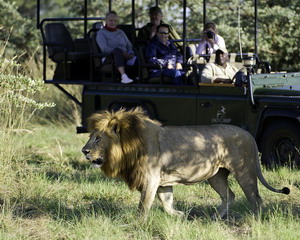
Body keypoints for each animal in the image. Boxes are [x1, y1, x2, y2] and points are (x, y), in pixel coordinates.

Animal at [81, 107, 290, 218]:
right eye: (90, 136)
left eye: (98, 138)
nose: (84, 151)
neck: (128, 147)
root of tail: (248, 134)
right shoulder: (162, 181)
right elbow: (166, 202)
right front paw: (179, 216)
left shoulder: (150, 178)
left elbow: (144, 204)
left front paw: (139, 222)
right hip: (216, 175)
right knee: (229, 195)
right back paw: (215, 217)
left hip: (244, 171)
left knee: (256, 198)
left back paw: (257, 218)